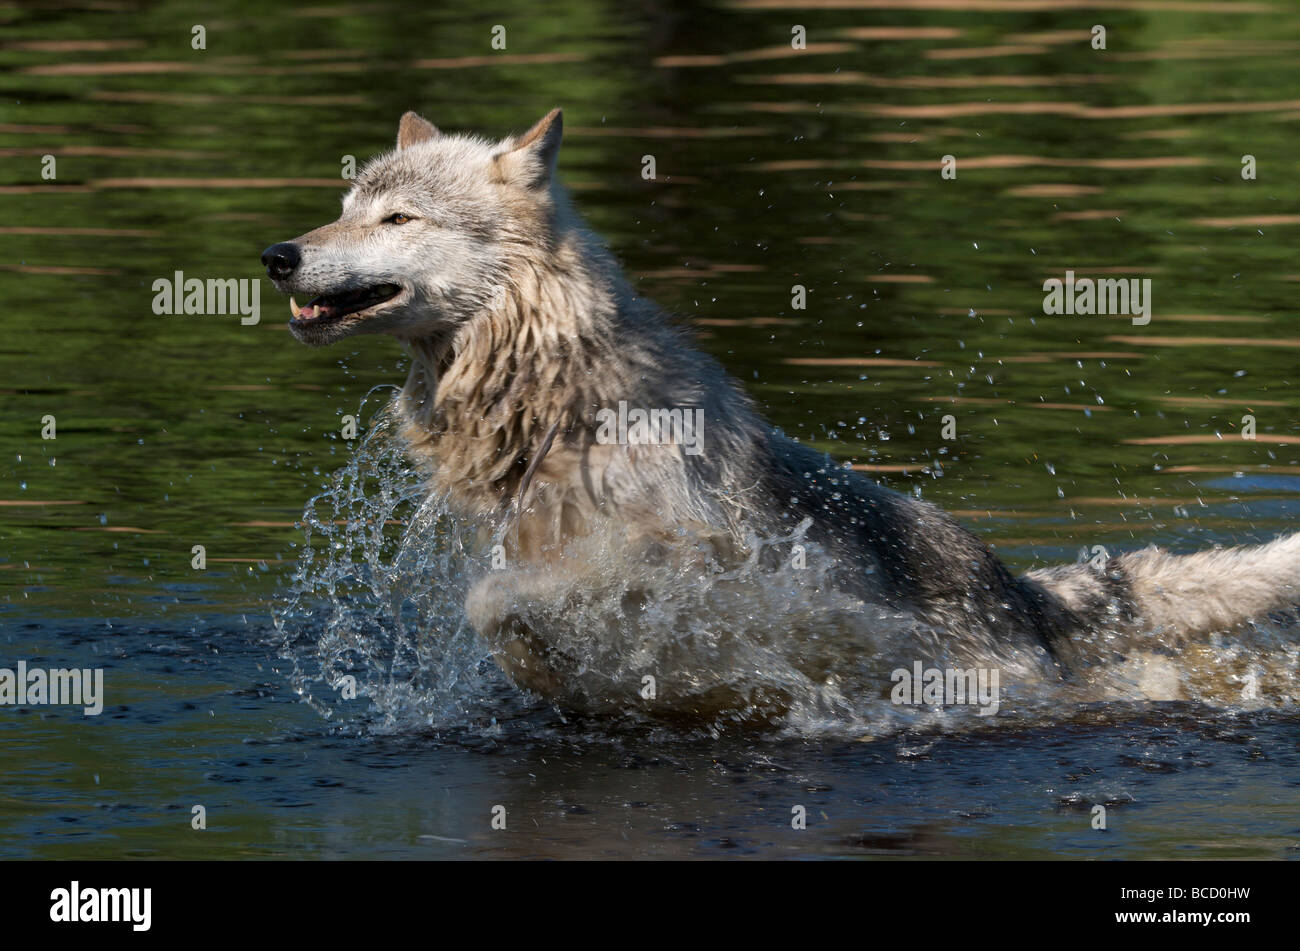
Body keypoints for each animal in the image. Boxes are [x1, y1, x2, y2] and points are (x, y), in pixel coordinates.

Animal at [261, 111, 1300, 717]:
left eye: (397, 219)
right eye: (343, 204)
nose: (277, 254)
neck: (561, 395)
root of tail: (1018, 583)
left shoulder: (671, 566)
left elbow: (499, 599)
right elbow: (505, 615)